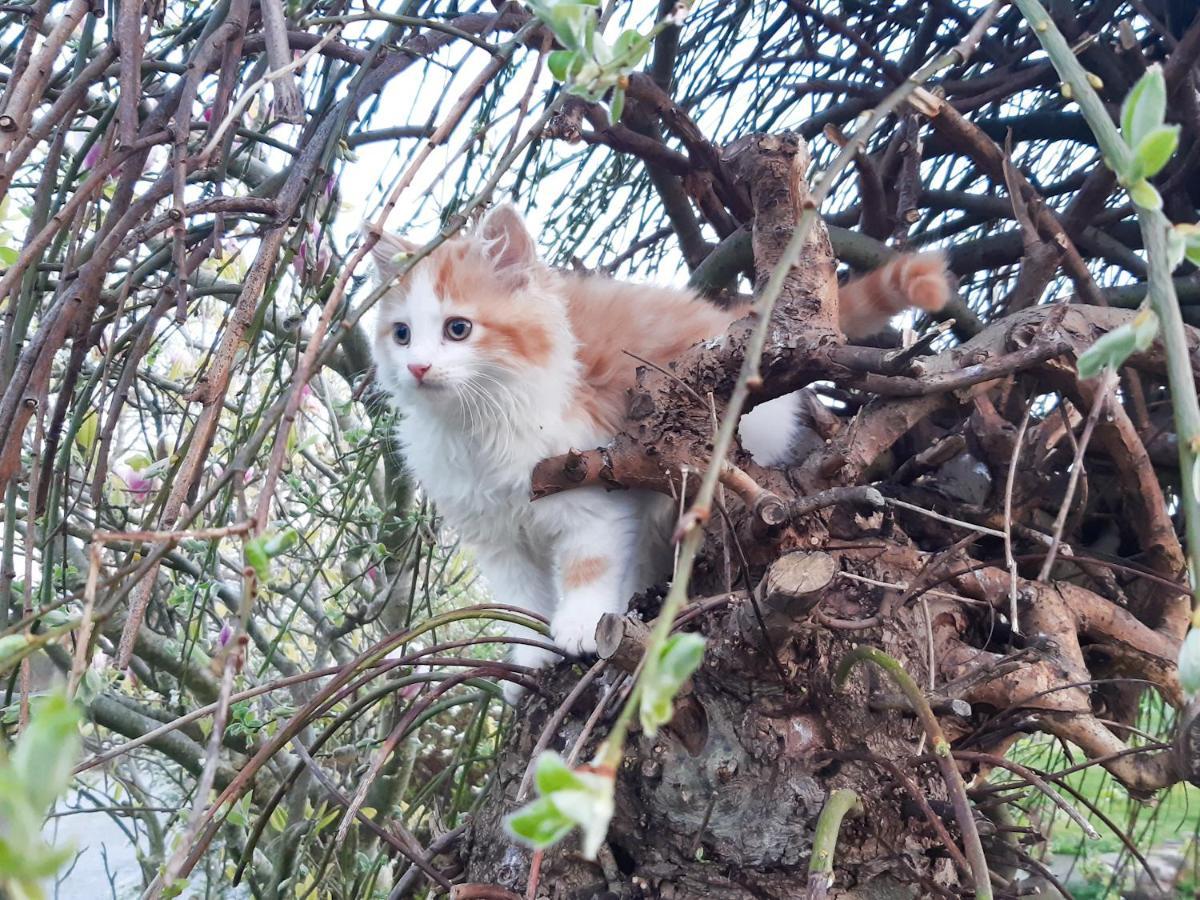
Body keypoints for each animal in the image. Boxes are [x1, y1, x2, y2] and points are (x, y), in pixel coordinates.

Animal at [369, 206, 950, 696]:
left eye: (458, 329)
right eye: (401, 335)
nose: (417, 367)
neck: (477, 425)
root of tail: (732, 320)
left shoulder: (590, 486)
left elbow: (590, 564)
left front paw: (581, 626)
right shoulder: (494, 534)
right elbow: (521, 596)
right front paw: (529, 660)